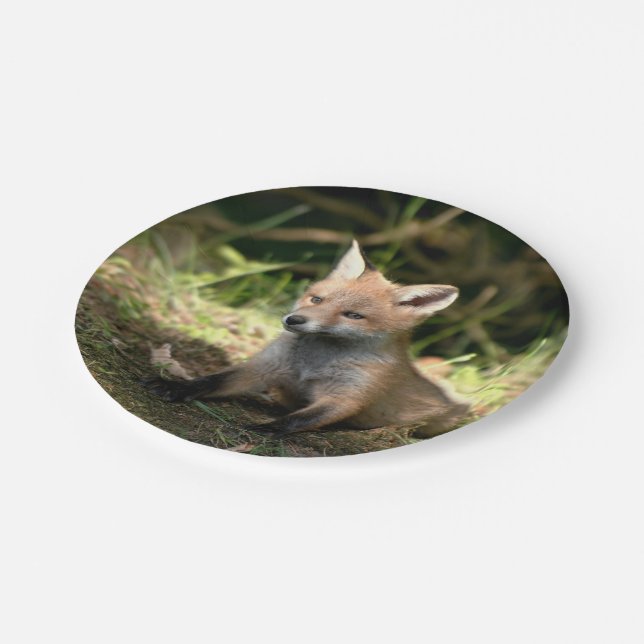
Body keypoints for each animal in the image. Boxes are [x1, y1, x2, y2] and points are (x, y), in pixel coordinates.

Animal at [144, 240, 470, 438]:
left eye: (353, 316)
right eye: (316, 299)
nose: (294, 320)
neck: (312, 363)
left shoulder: (347, 396)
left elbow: (297, 419)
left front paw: (265, 430)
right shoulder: (262, 368)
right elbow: (212, 380)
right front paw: (175, 386)